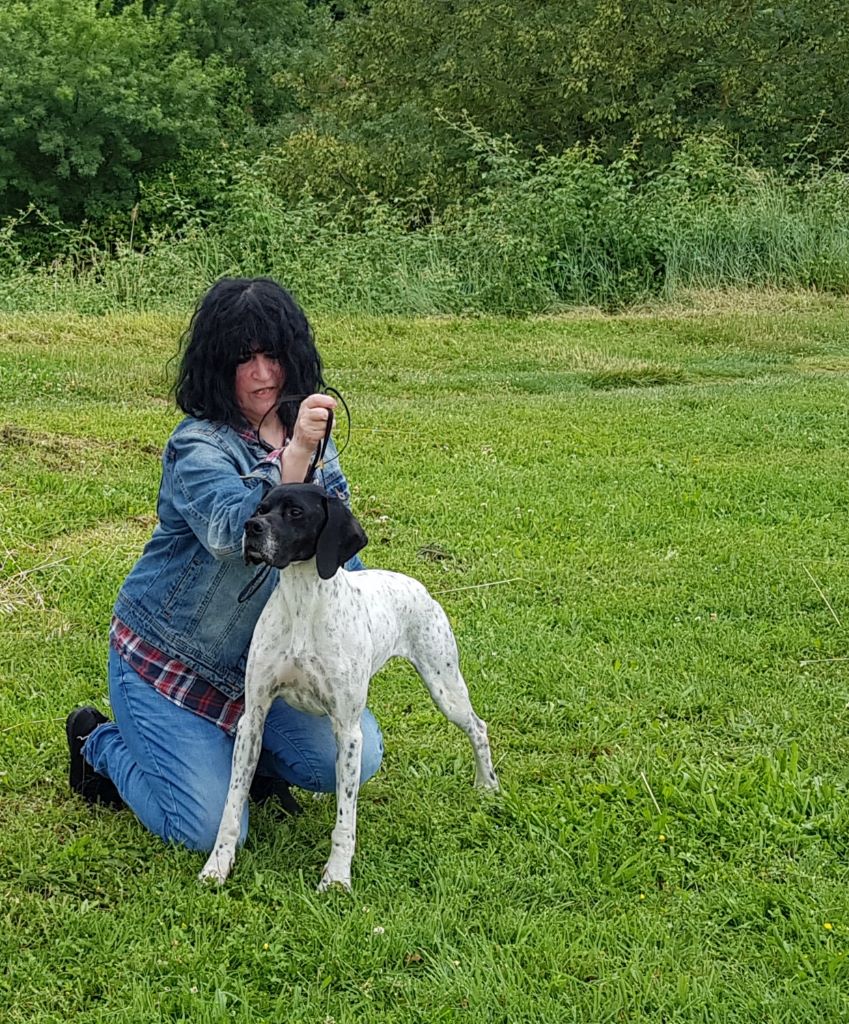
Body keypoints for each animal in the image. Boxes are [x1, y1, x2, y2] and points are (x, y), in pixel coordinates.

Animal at [199, 481, 499, 888]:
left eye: (296, 512)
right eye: (261, 508)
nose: (251, 528)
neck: (303, 601)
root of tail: (419, 587)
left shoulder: (348, 727)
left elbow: (345, 821)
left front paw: (337, 877)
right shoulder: (254, 719)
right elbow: (231, 804)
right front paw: (217, 866)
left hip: (444, 685)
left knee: (478, 727)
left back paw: (488, 785)